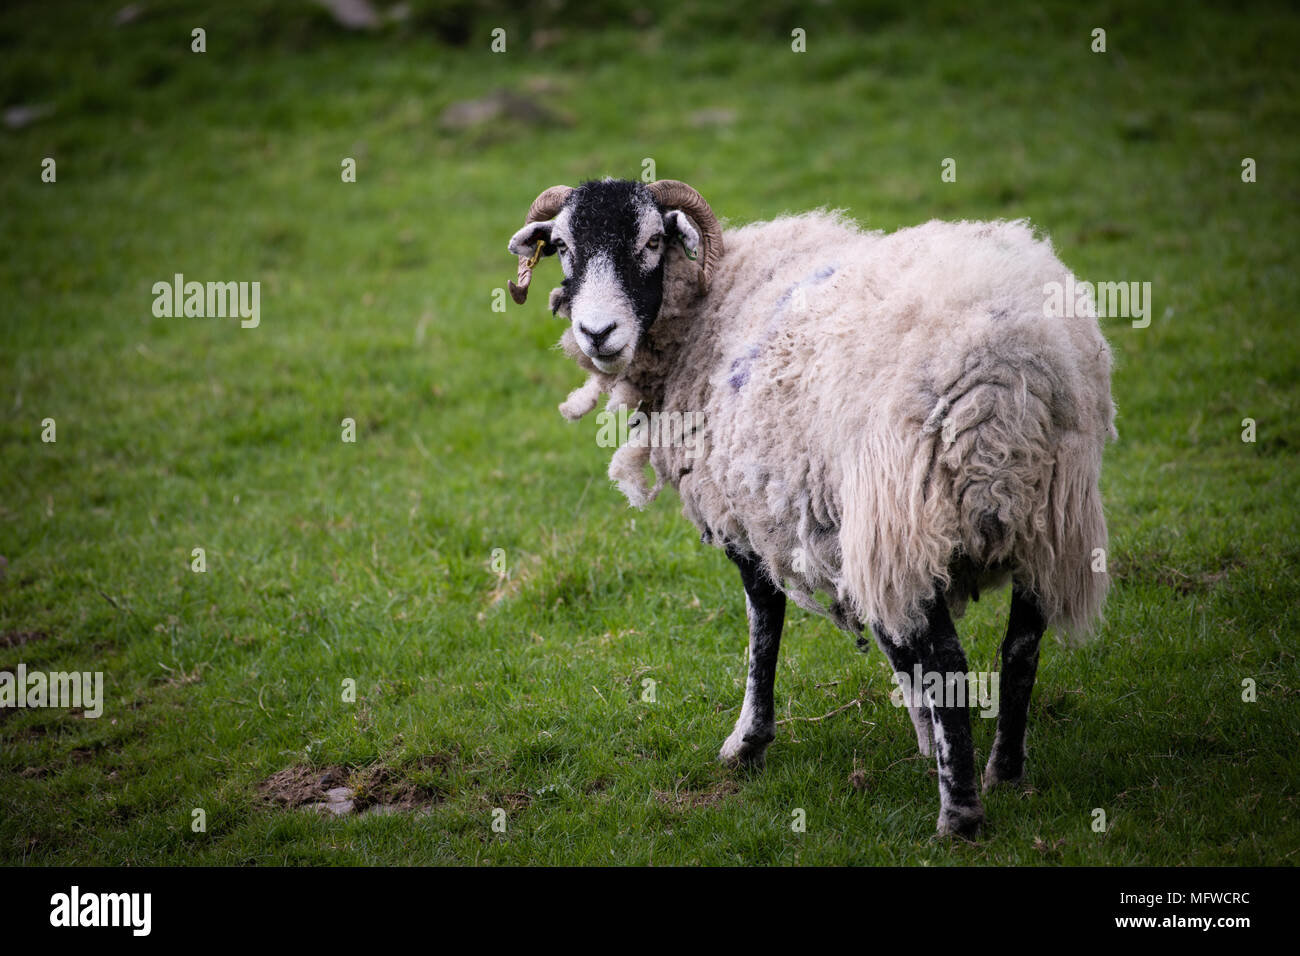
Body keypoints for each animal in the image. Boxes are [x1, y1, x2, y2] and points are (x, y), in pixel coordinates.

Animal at [501, 178, 1112, 837]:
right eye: (563, 246)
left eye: (653, 241)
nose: (597, 332)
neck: (707, 312)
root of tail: (1008, 370)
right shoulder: (853, 534)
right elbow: (897, 642)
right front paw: (925, 736)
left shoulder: (749, 514)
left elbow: (764, 624)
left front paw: (747, 743)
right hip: (1050, 515)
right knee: (1021, 645)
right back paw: (1005, 771)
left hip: (908, 510)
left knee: (952, 661)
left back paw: (960, 815)